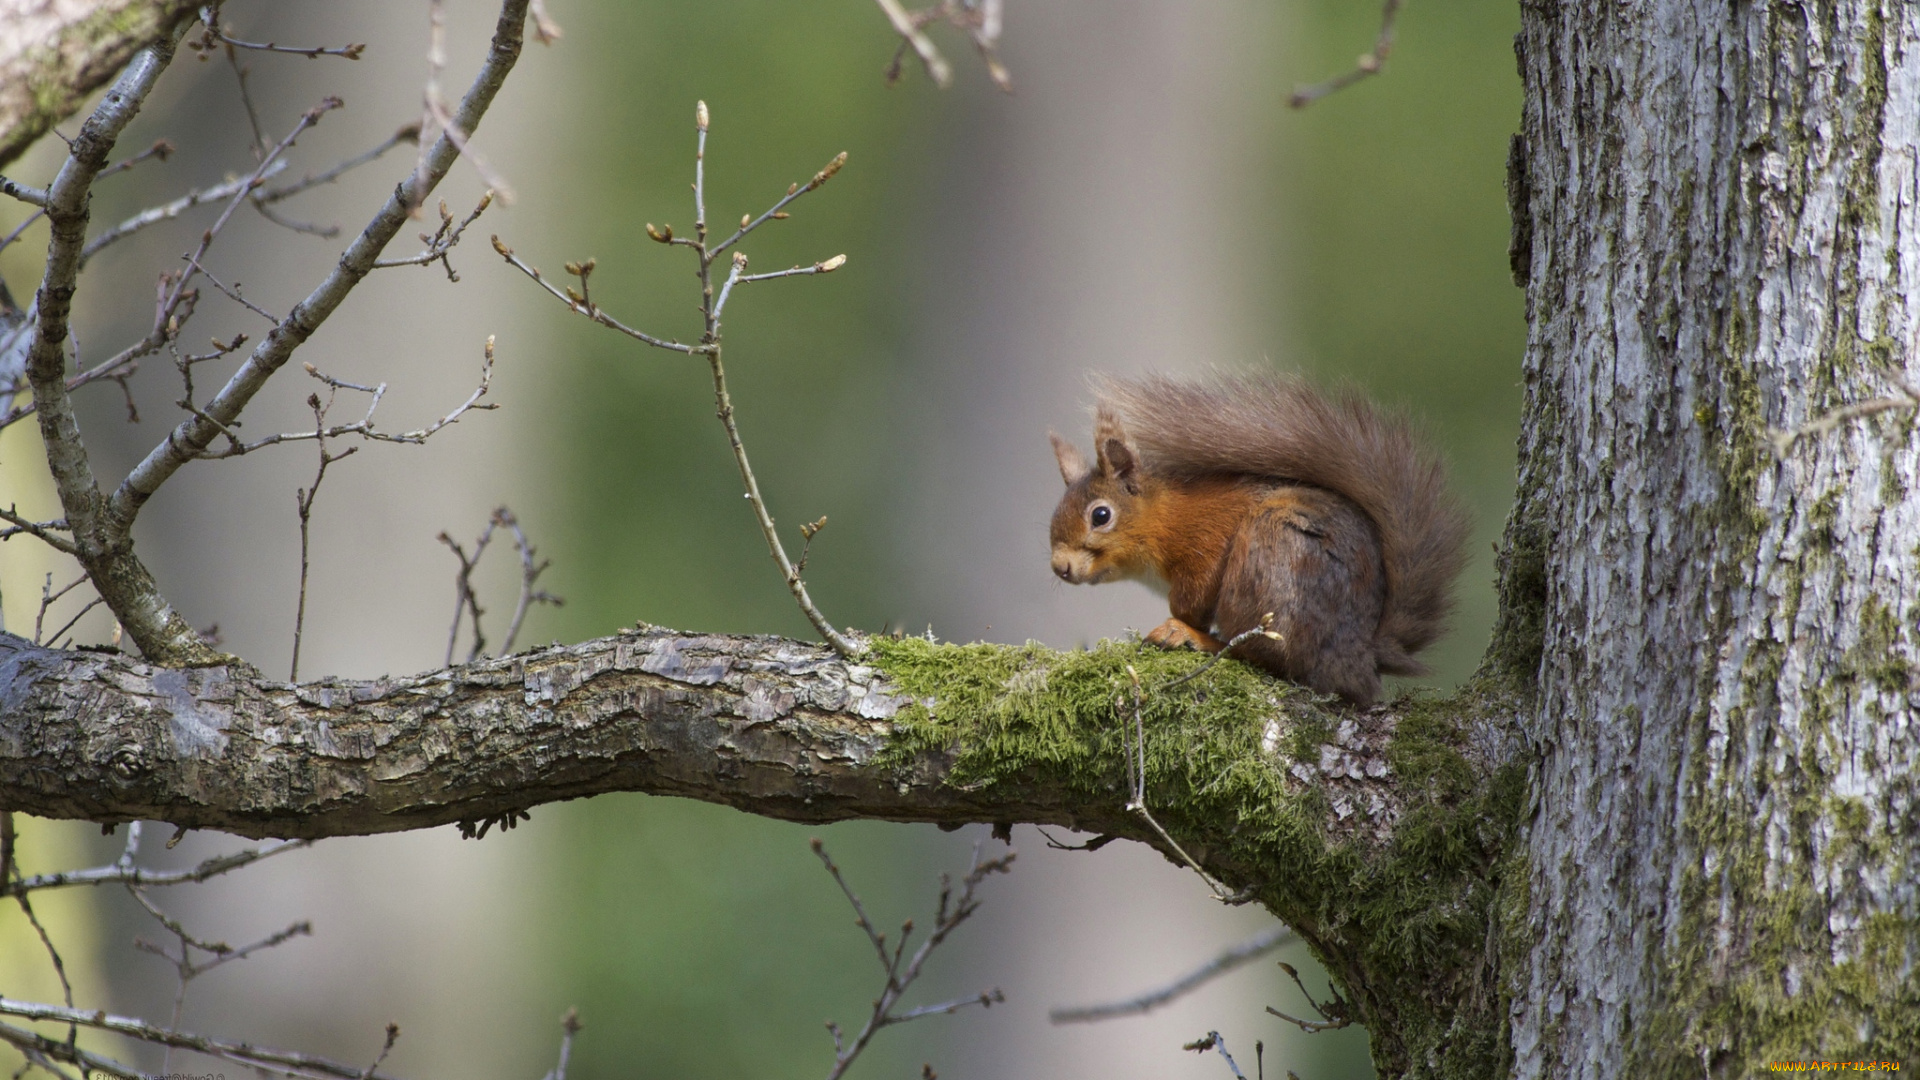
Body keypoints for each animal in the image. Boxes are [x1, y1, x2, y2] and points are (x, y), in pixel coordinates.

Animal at [1052, 374, 1466, 703]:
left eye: (1101, 515)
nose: (1060, 567)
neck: (1163, 519)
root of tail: (1359, 657)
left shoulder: (1205, 541)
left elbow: (1192, 595)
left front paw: (1181, 621)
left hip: (1269, 561)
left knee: (1265, 656)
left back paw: (1196, 639)